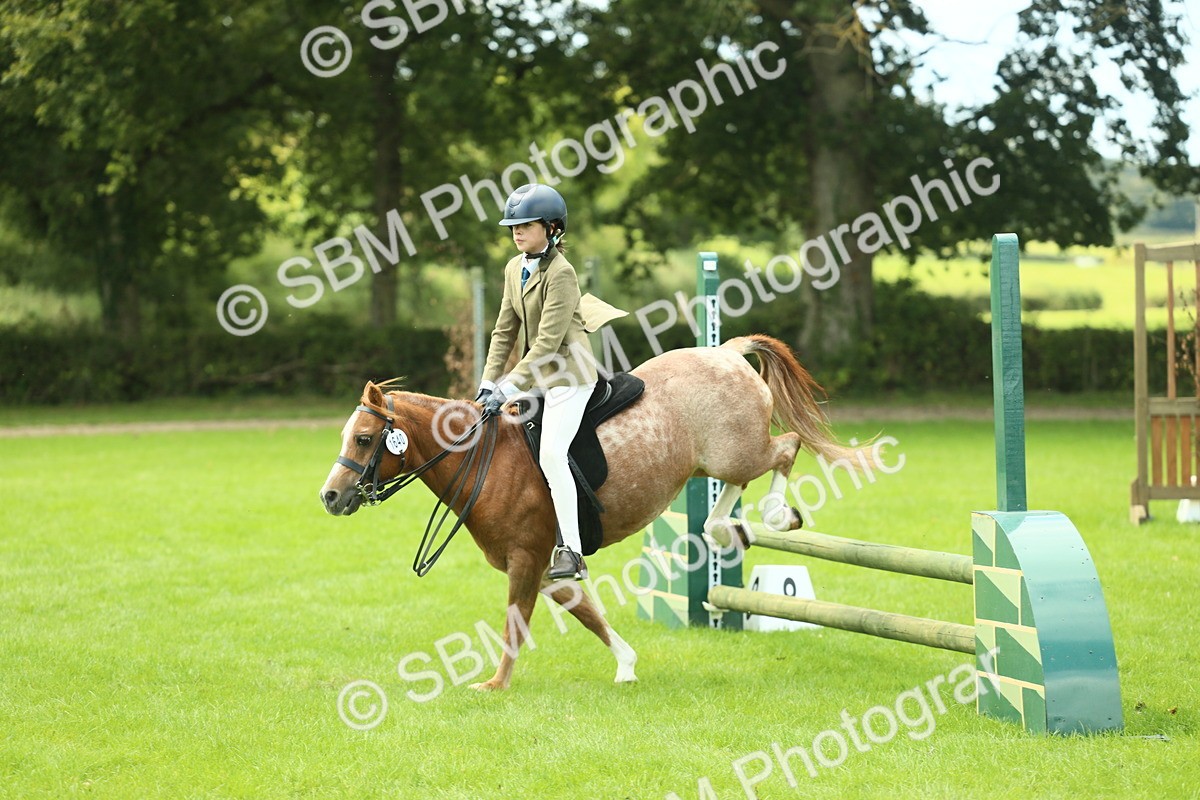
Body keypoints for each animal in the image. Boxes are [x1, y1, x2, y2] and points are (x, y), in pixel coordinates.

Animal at [319, 334, 870, 691]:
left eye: (364, 439)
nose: (330, 497)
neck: (487, 460)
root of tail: (725, 352)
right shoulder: (545, 565)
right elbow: (585, 612)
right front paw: (626, 665)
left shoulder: (526, 558)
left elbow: (515, 621)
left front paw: (495, 684)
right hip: (715, 462)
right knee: (745, 481)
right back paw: (724, 529)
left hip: (736, 452)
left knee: (787, 447)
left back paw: (777, 515)